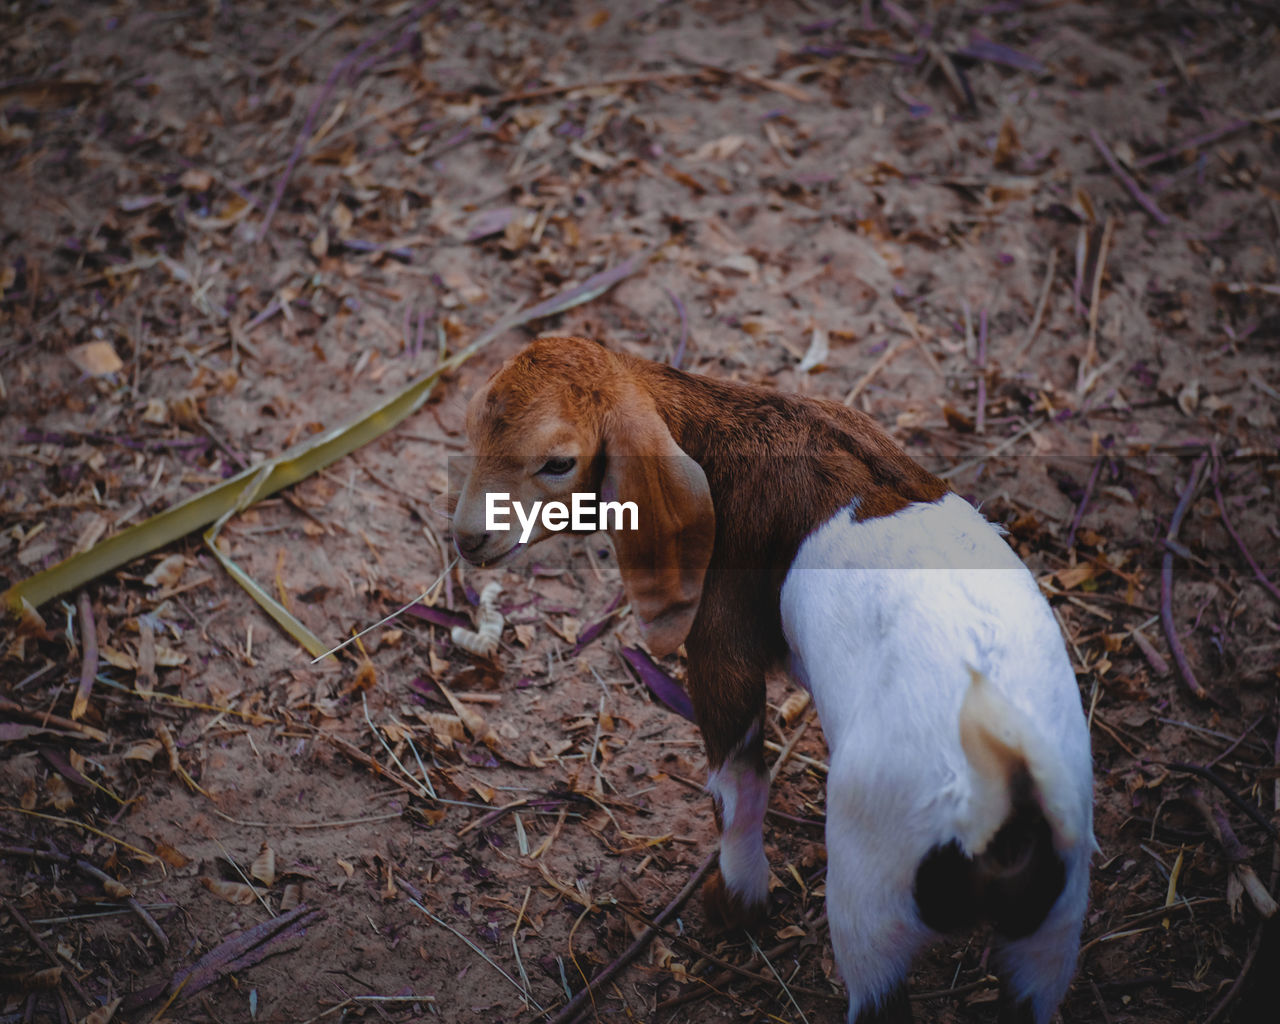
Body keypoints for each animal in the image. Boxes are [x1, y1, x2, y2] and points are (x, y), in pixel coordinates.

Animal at [450, 337, 1090, 1024]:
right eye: (473, 430)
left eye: (559, 462)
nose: (469, 538)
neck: (728, 424)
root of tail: (1009, 799)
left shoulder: (720, 628)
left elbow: (738, 780)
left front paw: (737, 905)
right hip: (1051, 929)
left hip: (873, 889)